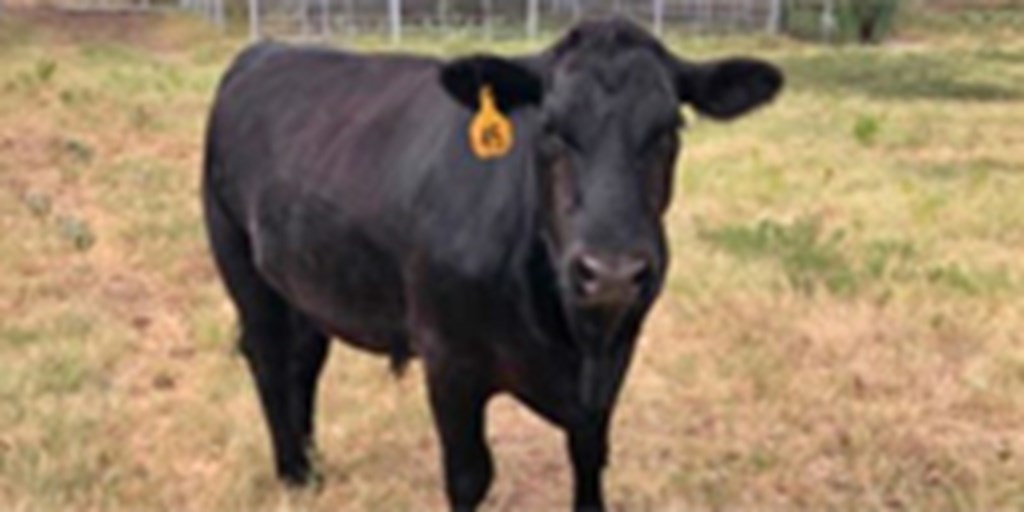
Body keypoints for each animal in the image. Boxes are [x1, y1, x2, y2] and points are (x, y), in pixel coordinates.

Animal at [202, 17, 782, 511]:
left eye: (671, 128)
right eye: (549, 127)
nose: (612, 272)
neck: (569, 332)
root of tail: (267, 49)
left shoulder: (614, 359)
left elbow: (590, 457)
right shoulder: (448, 360)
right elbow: (469, 477)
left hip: (304, 279)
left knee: (304, 359)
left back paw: (311, 468)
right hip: (238, 259)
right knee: (269, 358)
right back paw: (293, 475)